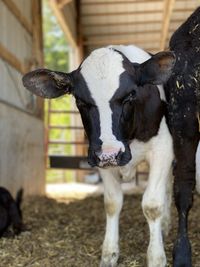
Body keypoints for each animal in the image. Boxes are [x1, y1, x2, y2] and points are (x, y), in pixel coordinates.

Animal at [22, 45, 175, 266]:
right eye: (80, 100)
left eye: (130, 95)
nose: (110, 154)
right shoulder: (100, 158)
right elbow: (112, 203)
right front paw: (109, 253)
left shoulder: (163, 149)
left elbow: (152, 205)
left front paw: (156, 257)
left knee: (168, 188)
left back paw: (164, 225)